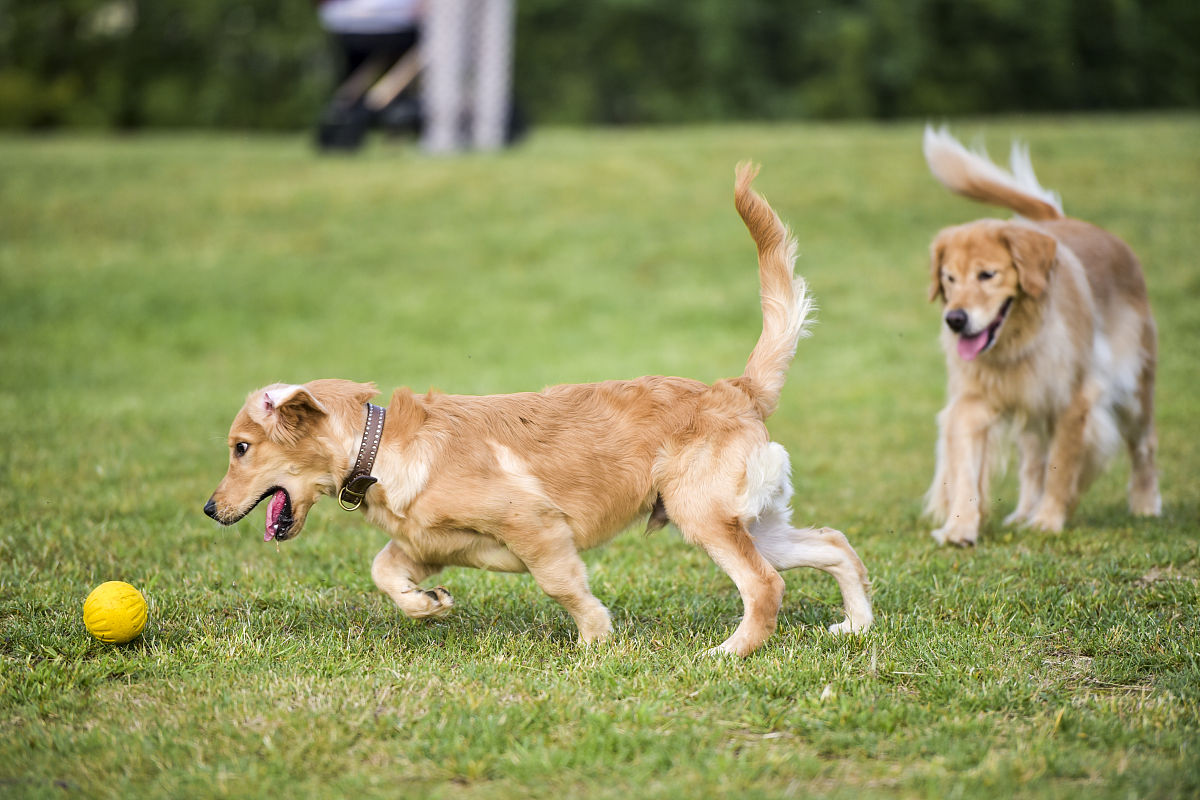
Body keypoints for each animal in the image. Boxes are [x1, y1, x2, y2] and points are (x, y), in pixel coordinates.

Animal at [206, 164, 873, 657]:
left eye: (241, 448)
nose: (210, 510)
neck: (381, 447)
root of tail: (736, 389)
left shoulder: (536, 526)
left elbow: (561, 584)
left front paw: (596, 638)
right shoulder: (423, 543)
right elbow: (384, 569)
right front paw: (428, 605)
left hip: (703, 513)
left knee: (765, 584)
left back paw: (728, 652)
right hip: (753, 519)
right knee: (833, 543)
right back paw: (856, 625)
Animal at [921, 125, 1156, 546]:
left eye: (987, 275)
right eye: (948, 278)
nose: (955, 319)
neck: (1018, 341)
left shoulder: (1075, 401)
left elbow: (1061, 467)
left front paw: (1048, 520)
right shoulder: (972, 402)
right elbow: (965, 471)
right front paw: (960, 527)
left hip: (1134, 389)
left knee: (1144, 446)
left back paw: (1146, 505)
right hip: (1032, 413)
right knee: (1032, 461)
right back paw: (1023, 511)